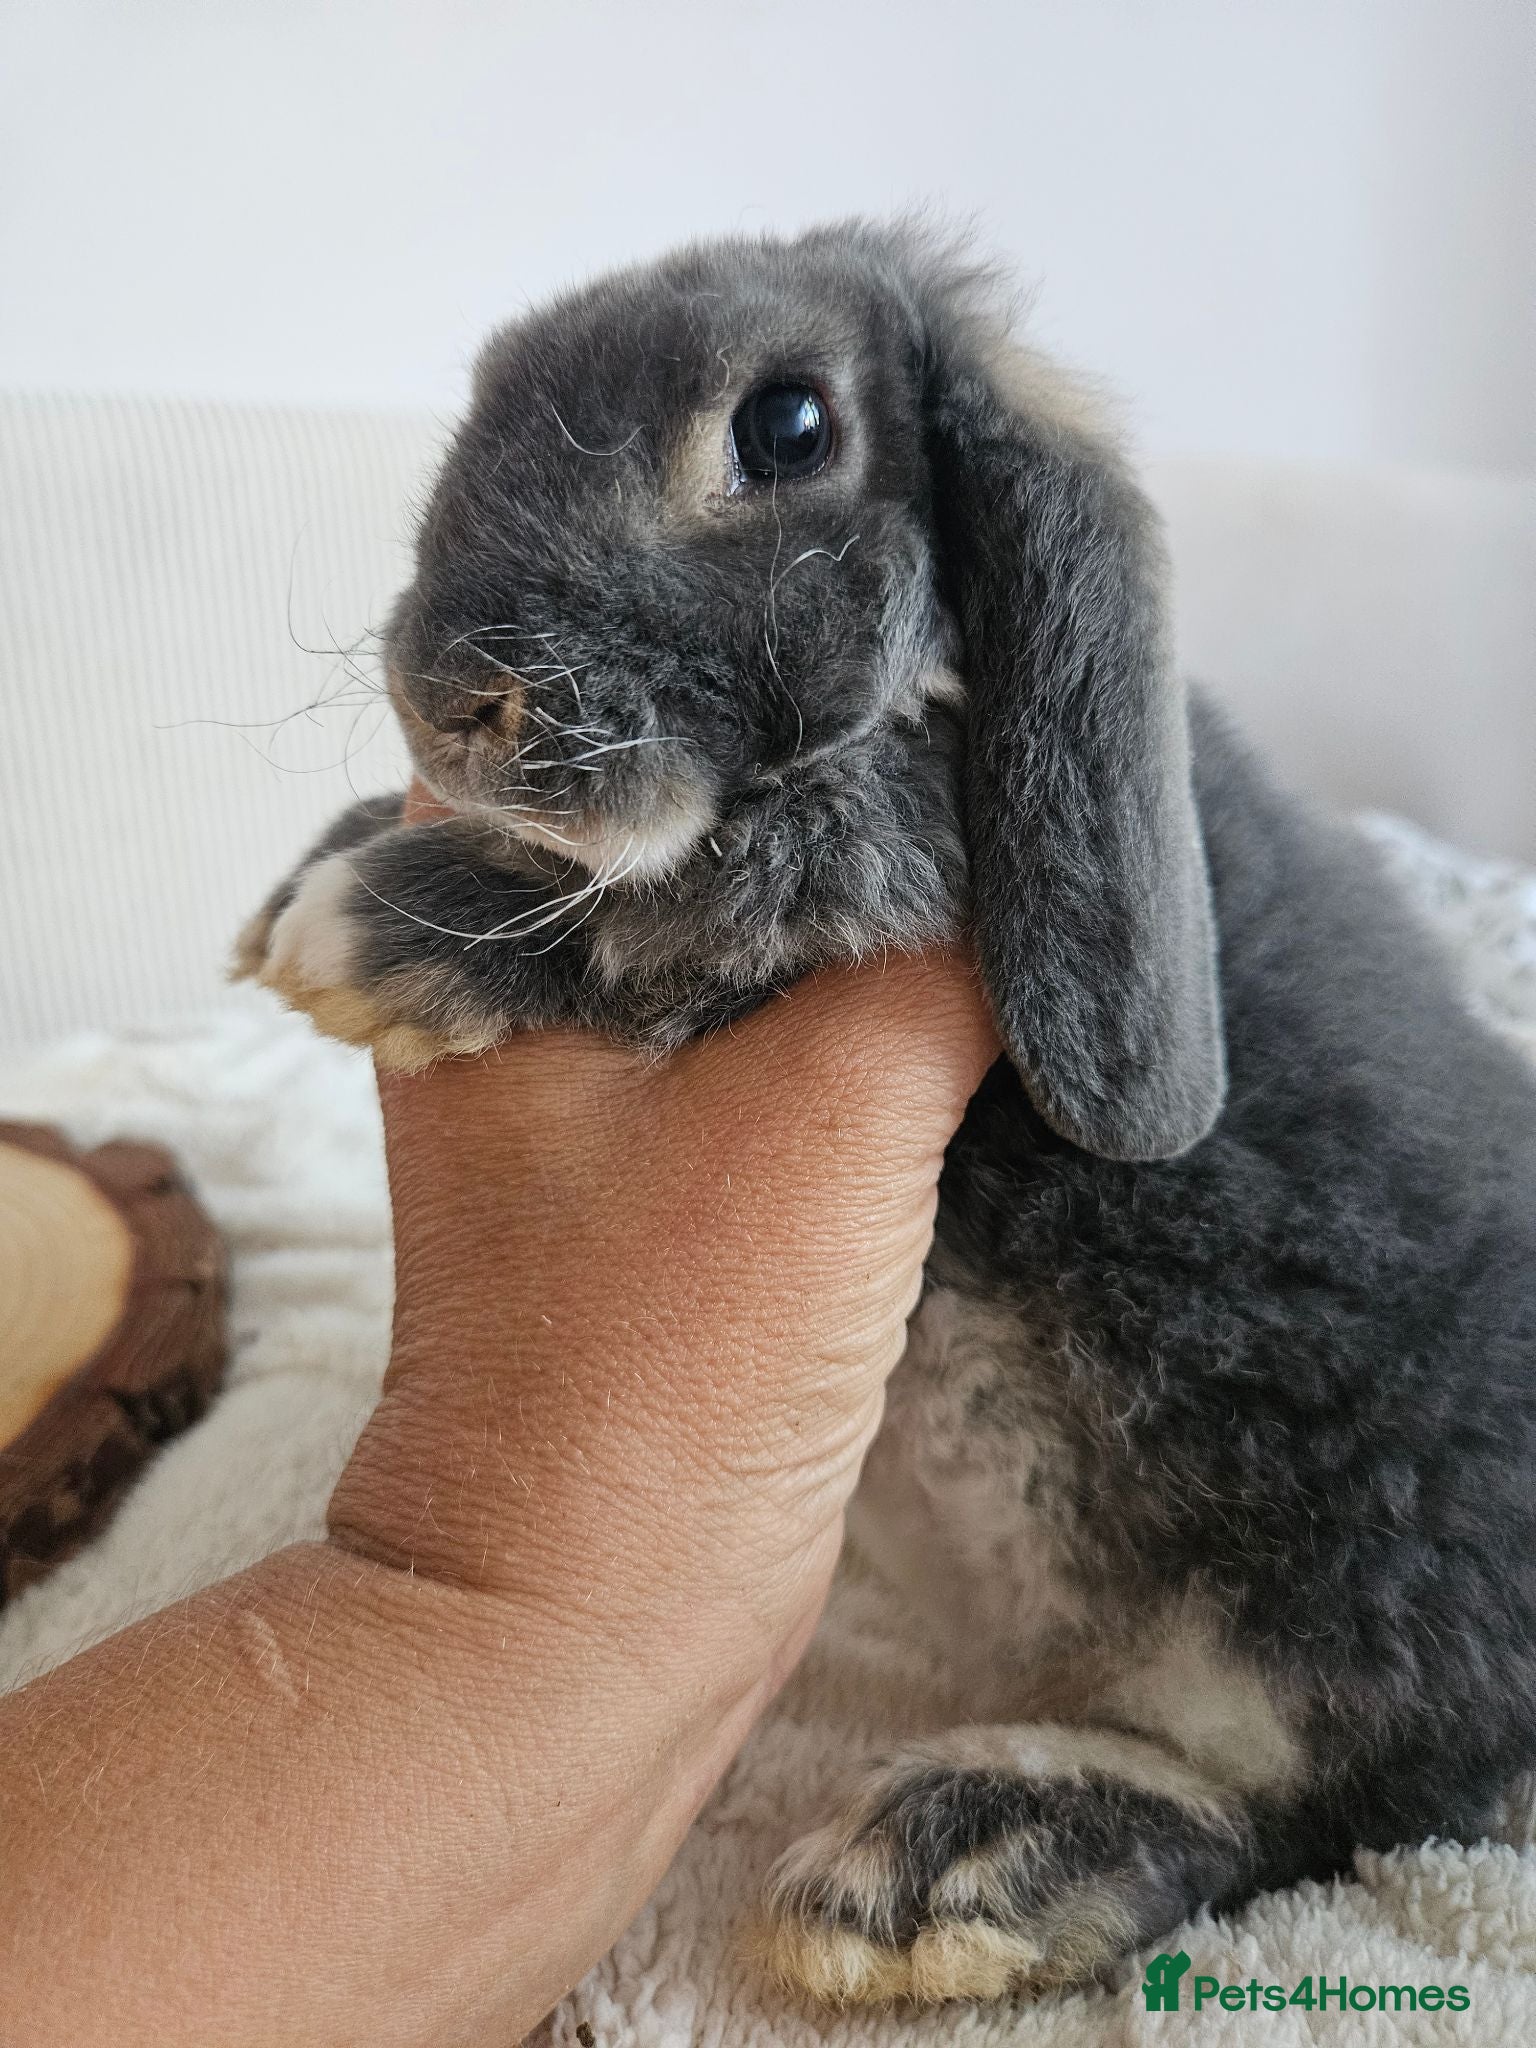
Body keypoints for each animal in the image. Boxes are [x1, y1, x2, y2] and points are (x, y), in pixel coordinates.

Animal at [236, 221, 1536, 2008]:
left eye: (786, 428)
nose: (452, 696)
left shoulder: (897, 866)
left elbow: (711, 892)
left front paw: (379, 914)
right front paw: (327, 862)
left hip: (1359, 1567)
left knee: (1339, 1794)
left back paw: (951, 1860)